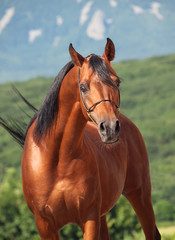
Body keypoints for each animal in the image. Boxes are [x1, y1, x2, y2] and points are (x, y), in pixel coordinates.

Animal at [0, 38, 161, 239]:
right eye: (83, 87)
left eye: (117, 82)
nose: (110, 129)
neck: (57, 160)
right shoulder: (45, 224)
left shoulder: (89, 217)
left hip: (139, 194)